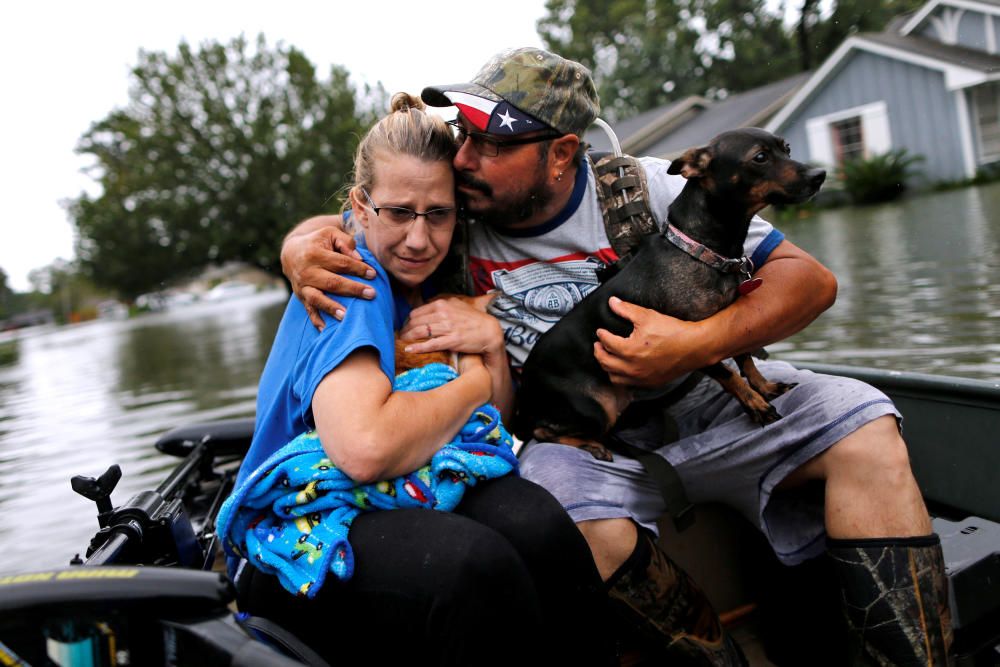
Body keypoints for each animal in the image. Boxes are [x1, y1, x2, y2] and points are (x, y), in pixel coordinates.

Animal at [512, 128, 824, 448]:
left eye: (787, 148)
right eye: (760, 157)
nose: (820, 175)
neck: (699, 251)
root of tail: (526, 397)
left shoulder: (727, 330)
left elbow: (745, 358)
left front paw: (765, 387)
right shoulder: (694, 345)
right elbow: (729, 373)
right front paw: (755, 404)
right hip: (595, 410)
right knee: (543, 432)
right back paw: (593, 446)